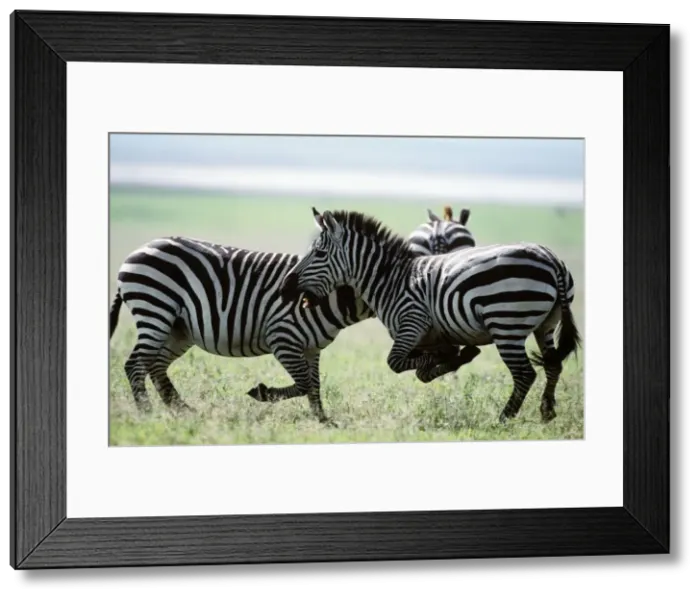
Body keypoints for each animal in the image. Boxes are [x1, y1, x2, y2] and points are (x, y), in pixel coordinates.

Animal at [108, 235, 450, 425]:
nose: (444, 352)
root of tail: (138, 250)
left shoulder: (311, 347)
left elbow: (313, 387)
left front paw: (323, 422)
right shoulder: (282, 338)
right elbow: (302, 384)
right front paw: (262, 393)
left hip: (178, 329)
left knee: (154, 364)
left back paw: (181, 410)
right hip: (156, 309)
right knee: (136, 364)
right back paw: (147, 413)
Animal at [279, 208, 581, 424]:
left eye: (319, 253)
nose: (286, 287)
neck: (390, 281)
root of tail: (551, 259)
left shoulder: (412, 323)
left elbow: (396, 363)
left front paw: (453, 357)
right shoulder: (431, 337)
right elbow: (425, 371)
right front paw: (457, 356)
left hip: (507, 326)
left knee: (524, 374)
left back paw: (504, 418)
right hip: (546, 325)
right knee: (553, 364)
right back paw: (546, 412)